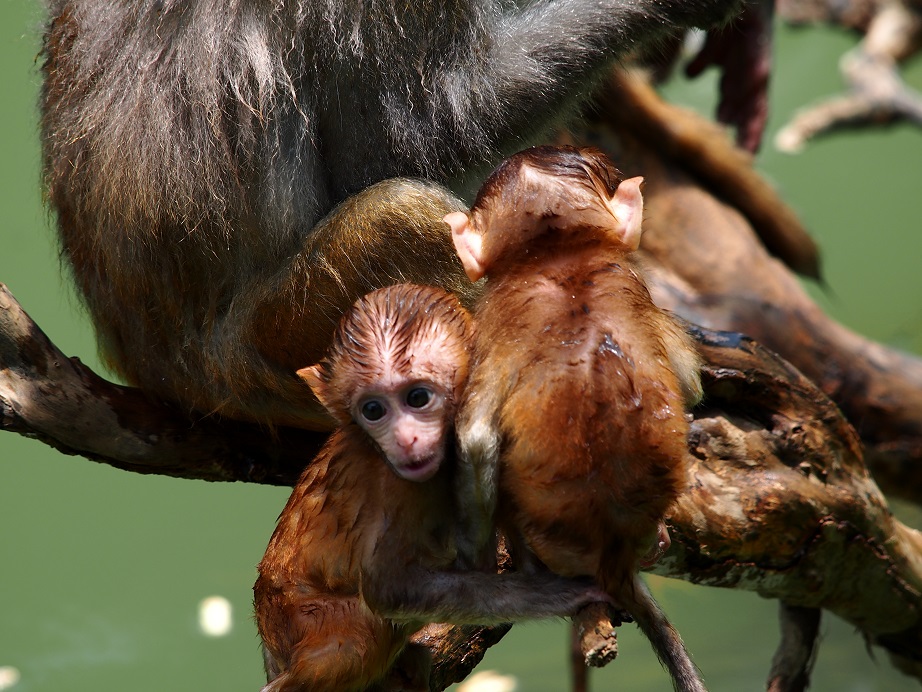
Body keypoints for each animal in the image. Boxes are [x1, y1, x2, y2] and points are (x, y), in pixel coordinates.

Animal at [255, 282, 608, 692]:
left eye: (418, 398)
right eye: (372, 410)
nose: (405, 440)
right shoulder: (397, 488)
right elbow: (389, 588)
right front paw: (560, 593)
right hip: (301, 619)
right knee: (358, 641)